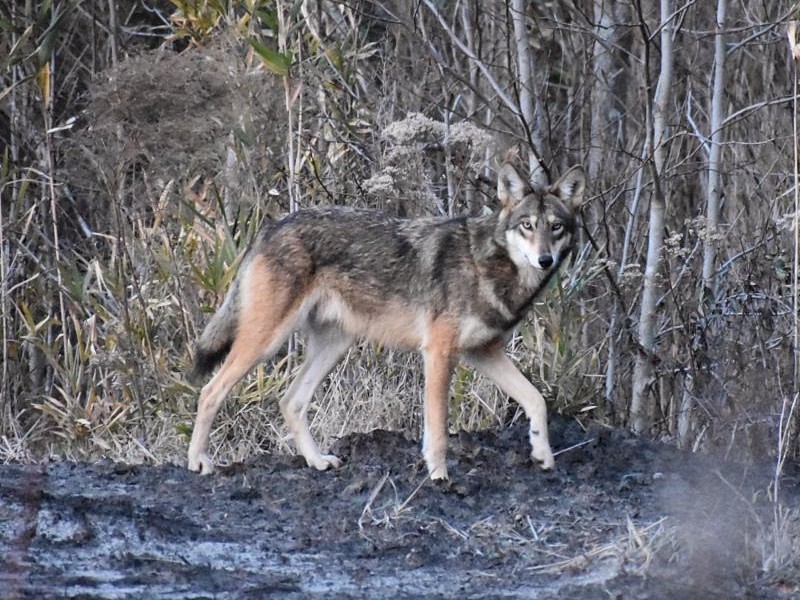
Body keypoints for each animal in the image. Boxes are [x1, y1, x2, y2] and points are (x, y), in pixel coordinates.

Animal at [189, 159, 588, 478]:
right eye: (527, 226)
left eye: (555, 227)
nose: (545, 260)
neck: (488, 266)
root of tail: (271, 227)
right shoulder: (439, 353)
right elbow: (438, 428)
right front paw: (439, 476)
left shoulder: (483, 353)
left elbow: (536, 400)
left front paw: (542, 454)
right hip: (266, 342)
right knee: (210, 391)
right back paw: (198, 461)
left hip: (334, 346)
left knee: (290, 402)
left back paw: (317, 461)